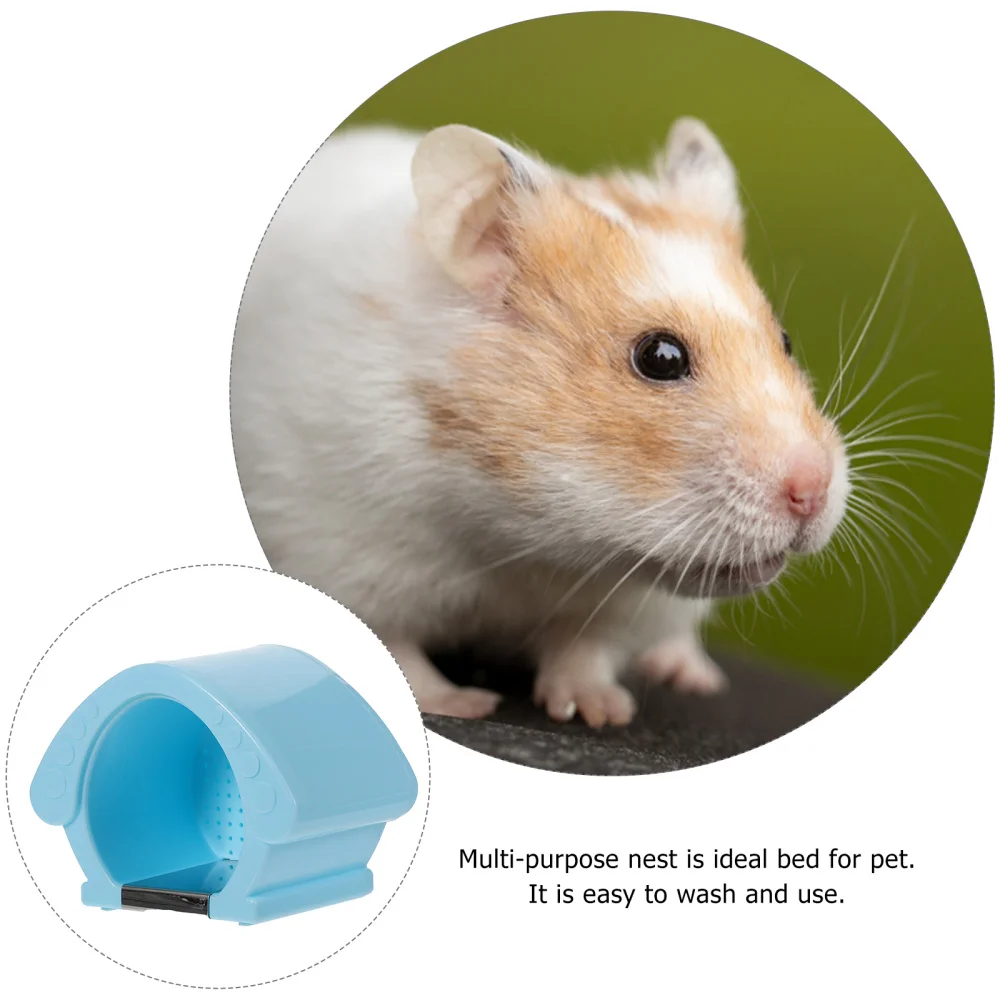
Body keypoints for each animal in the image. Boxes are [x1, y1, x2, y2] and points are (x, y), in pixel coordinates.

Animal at [230, 118, 849, 727]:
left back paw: (689, 674)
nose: (813, 491)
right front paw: (467, 706)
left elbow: (585, 649)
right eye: (660, 357)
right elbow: (399, 648)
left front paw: (600, 713)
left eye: (785, 341)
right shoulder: (344, 549)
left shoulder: (627, 604)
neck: (524, 542)